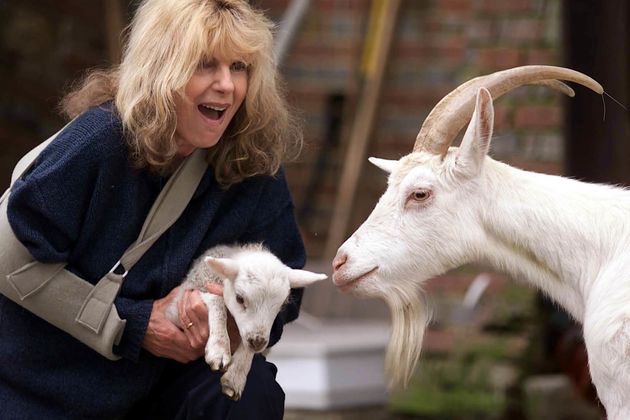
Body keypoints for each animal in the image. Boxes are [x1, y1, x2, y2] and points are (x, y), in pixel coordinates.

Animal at [170, 241, 328, 398]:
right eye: (239, 299)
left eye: (282, 304)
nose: (258, 343)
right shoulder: (185, 297)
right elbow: (217, 301)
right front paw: (219, 348)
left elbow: (247, 344)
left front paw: (235, 377)